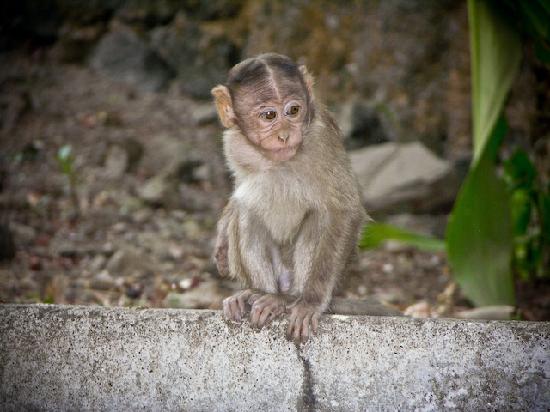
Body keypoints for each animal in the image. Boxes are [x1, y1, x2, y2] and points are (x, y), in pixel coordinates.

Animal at [212, 53, 402, 342]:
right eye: (269, 115)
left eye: (293, 111)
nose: (285, 135)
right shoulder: (233, 143)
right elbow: (241, 192)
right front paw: (223, 234)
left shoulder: (321, 140)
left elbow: (344, 211)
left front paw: (311, 301)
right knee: (247, 212)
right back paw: (258, 294)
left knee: (320, 217)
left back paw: (288, 300)